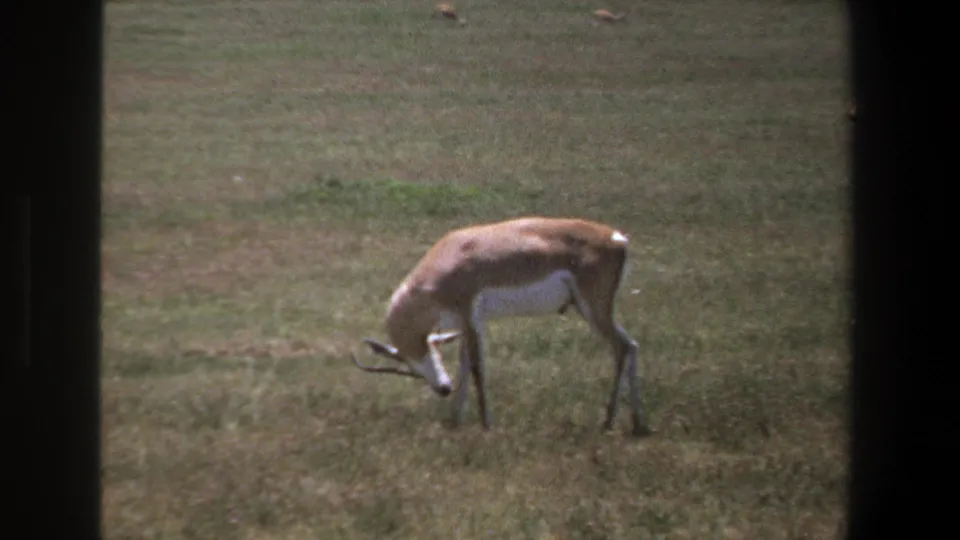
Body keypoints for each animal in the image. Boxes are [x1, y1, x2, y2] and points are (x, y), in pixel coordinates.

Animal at [351, 217, 651, 437]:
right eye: (411, 367)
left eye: (418, 357)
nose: (442, 389)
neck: (446, 261)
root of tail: (618, 238)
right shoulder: (467, 323)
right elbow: (464, 366)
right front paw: (455, 421)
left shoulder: (470, 314)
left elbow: (477, 368)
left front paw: (486, 424)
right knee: (632, 345)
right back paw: (638, 423)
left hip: (593, 308)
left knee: (622, 347)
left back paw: (609, 421)